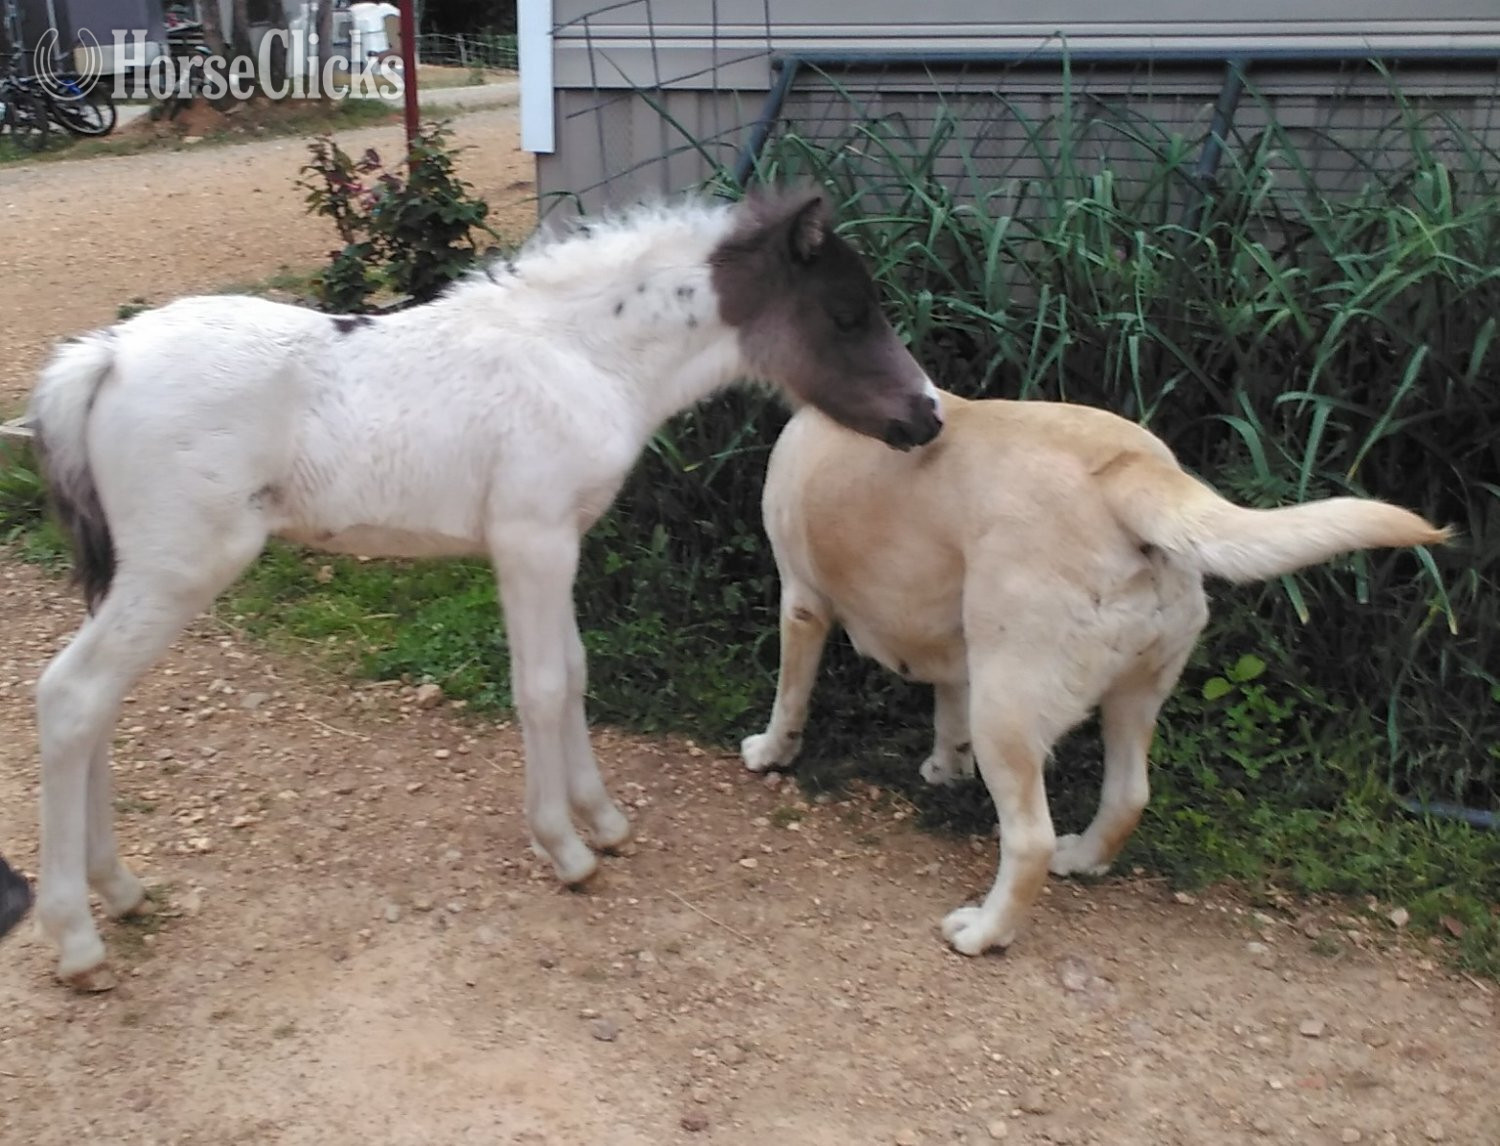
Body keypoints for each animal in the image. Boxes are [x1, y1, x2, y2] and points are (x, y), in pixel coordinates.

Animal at [27, 187, 944, 989]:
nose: (928, 416)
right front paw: (566, 850)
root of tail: (106, 355)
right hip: (181, 567)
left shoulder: (557, 543)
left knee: (97, 705)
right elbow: (539, 687)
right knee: (71, 695)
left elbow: (573, 673)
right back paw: (77, 939)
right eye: (847, 314)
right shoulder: (530, 541)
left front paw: (604, 822)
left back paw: (120, 891)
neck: (581, 357)